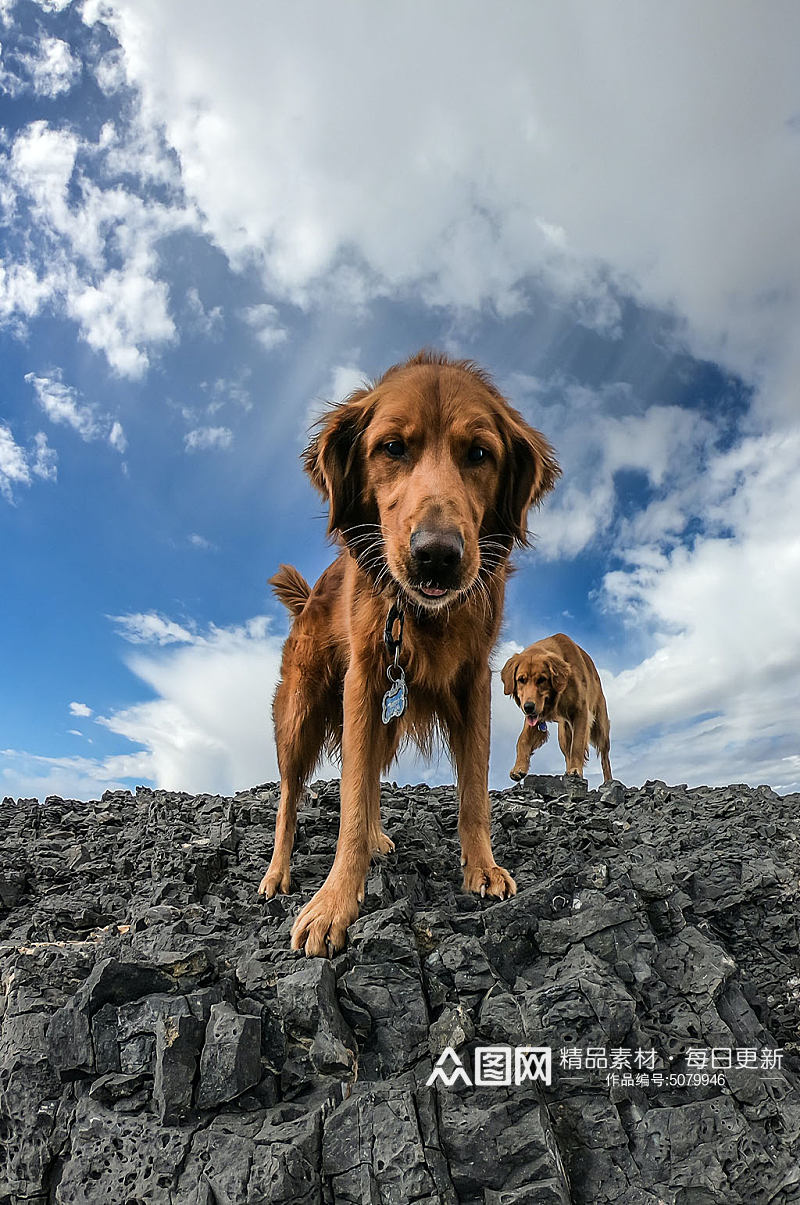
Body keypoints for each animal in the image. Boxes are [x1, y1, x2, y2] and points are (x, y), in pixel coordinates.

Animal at [259, 347, 559, 949]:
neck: (420, 615)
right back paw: (279, 871)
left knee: (370, 774)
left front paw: (481, 867)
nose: (436, 556)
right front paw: (334, 901)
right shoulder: (364, 680)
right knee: (289, 796)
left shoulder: (474, 683)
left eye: (480, 454)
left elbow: (473, 792)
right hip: (300, 711)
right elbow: (350, 799)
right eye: (392, 447)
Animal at [501, 636, 612, 785]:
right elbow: (522, 740)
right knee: (567, 753)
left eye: (542, 679)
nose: (528, 707)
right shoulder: (535, 718)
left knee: (605, 757)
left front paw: (576, 770)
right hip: (563, 734)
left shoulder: (581, 712)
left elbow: (577, 744)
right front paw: (519, 767)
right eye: (521, 680)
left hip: (600, 727)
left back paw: (609, 780)